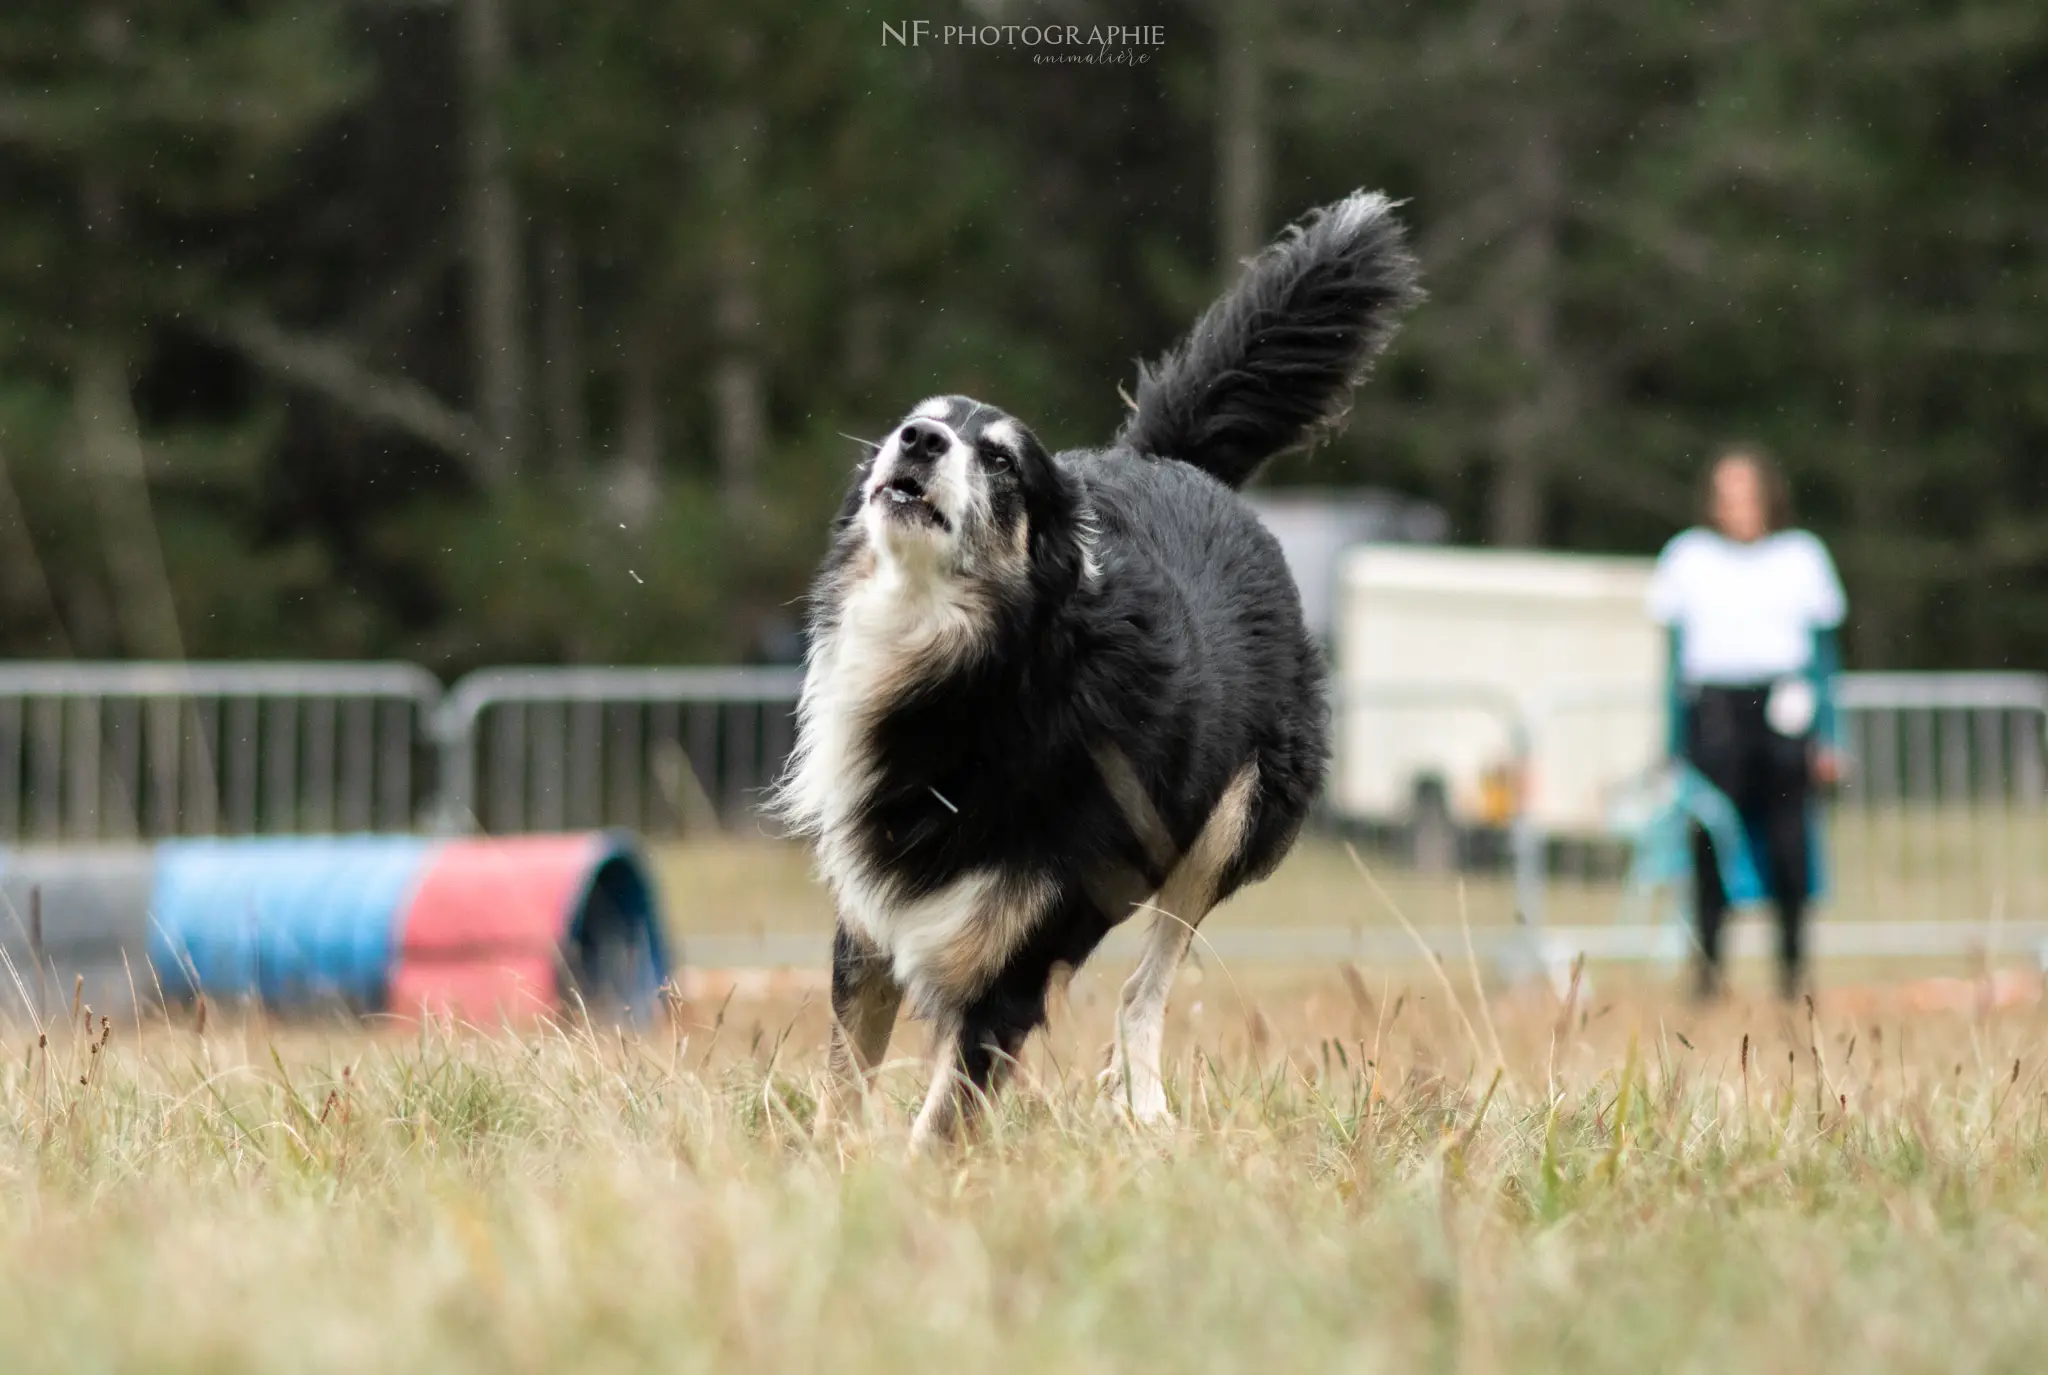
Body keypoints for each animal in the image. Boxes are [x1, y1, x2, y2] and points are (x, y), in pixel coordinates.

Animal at [774, 190, 1417, 1139]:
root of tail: (1171, 461)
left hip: (1230, 828)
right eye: (912, 421)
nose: (918, 439)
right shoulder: (870, 921)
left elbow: (939, 1122)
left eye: (1000, 459)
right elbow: (843, 1081)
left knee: (1146, 988)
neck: (981, 676)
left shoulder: (1010, 971)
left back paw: (1144, 1106)